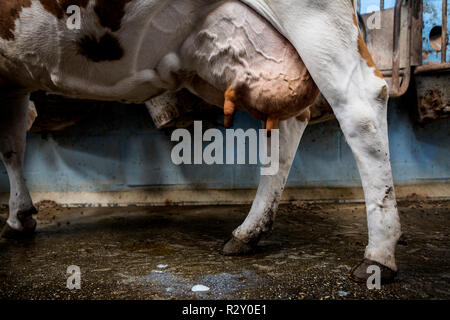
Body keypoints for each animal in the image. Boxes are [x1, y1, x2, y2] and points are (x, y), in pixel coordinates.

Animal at [0, 0, 400, 282]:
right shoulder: (14, 82)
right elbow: (13, 144)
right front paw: (19, 216)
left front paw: (18, 217)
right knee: (289, 119)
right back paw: (248, 233)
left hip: (316, 19)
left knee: (361, 104)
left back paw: (378, 256)